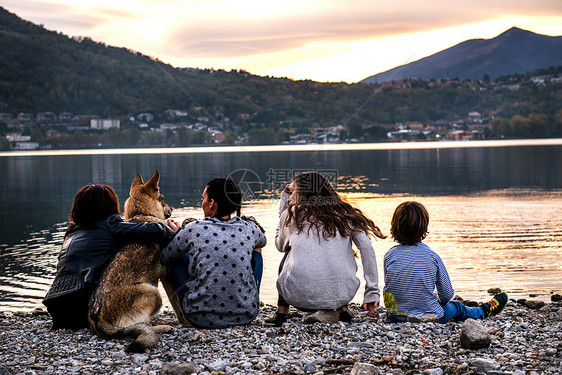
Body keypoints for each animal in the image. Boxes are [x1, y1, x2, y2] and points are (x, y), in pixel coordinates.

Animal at [88, 170, 172, 352]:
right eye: (162, 198)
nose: (172, 209)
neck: (142, 215)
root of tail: (99, 319)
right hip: (153, 293)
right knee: (143, 325)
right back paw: (162, 327)